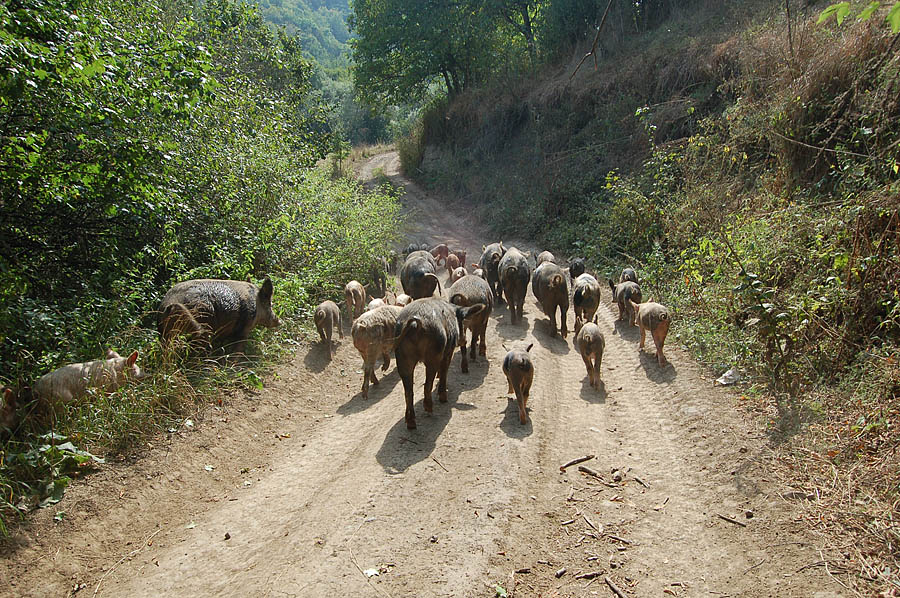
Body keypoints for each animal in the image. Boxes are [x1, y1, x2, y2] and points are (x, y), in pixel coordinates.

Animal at [394, 300, 486, 432]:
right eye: (461, 321)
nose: (464, 340)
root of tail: (415, 323)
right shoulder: (448, 351)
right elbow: (444, 371)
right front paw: (443, 397)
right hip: (433, 354)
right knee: (427, 385)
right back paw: (430, 408)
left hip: (402, 357)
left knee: (408, 392)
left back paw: (411, 424)